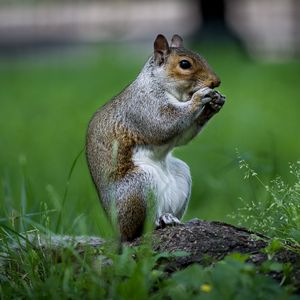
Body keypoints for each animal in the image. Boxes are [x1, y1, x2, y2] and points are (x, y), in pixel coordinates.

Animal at [85, 34, 225, 241]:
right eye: (185, 64)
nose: (216, 82)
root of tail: (117, 231)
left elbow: (181, 136)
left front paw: (215, 103)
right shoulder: (144, 107)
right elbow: (164, 124)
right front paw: (200, 97)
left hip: (180, 175)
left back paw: (177, 219)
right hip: (138, 185)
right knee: (139, 230)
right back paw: (160, 221)